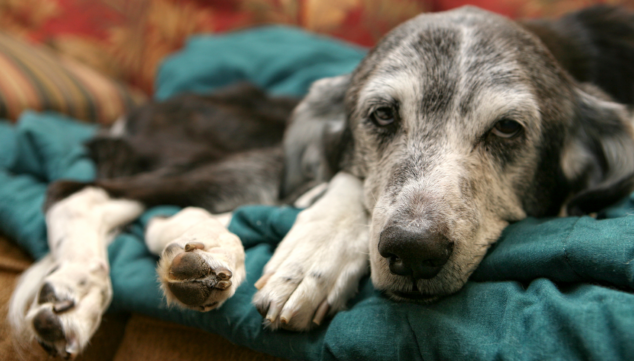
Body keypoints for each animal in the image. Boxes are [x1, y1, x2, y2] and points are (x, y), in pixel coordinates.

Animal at [7, 4, 632, 358]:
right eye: (382, 115)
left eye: (507, 129)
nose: (413, 251)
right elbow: (348, 185)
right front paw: (314, 257)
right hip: (256, 159)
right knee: (78, 193)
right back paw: (87, 286)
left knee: (152, 213)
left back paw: (198, 258)